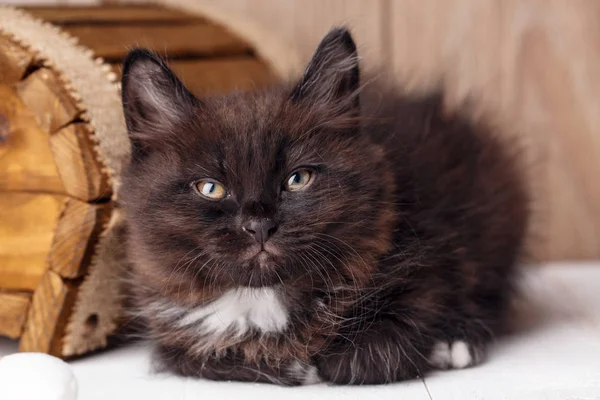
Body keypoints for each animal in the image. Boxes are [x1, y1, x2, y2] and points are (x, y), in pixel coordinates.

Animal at [119, 27, 528, 384]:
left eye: (298, 179)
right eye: (211, 188)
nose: (259, 224)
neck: (263, 298)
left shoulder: (432, 247)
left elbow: (380, 347)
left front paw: (332, 361)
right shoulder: (169, 326)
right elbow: (190, 356)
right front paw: (292, 367)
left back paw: (459, 341)